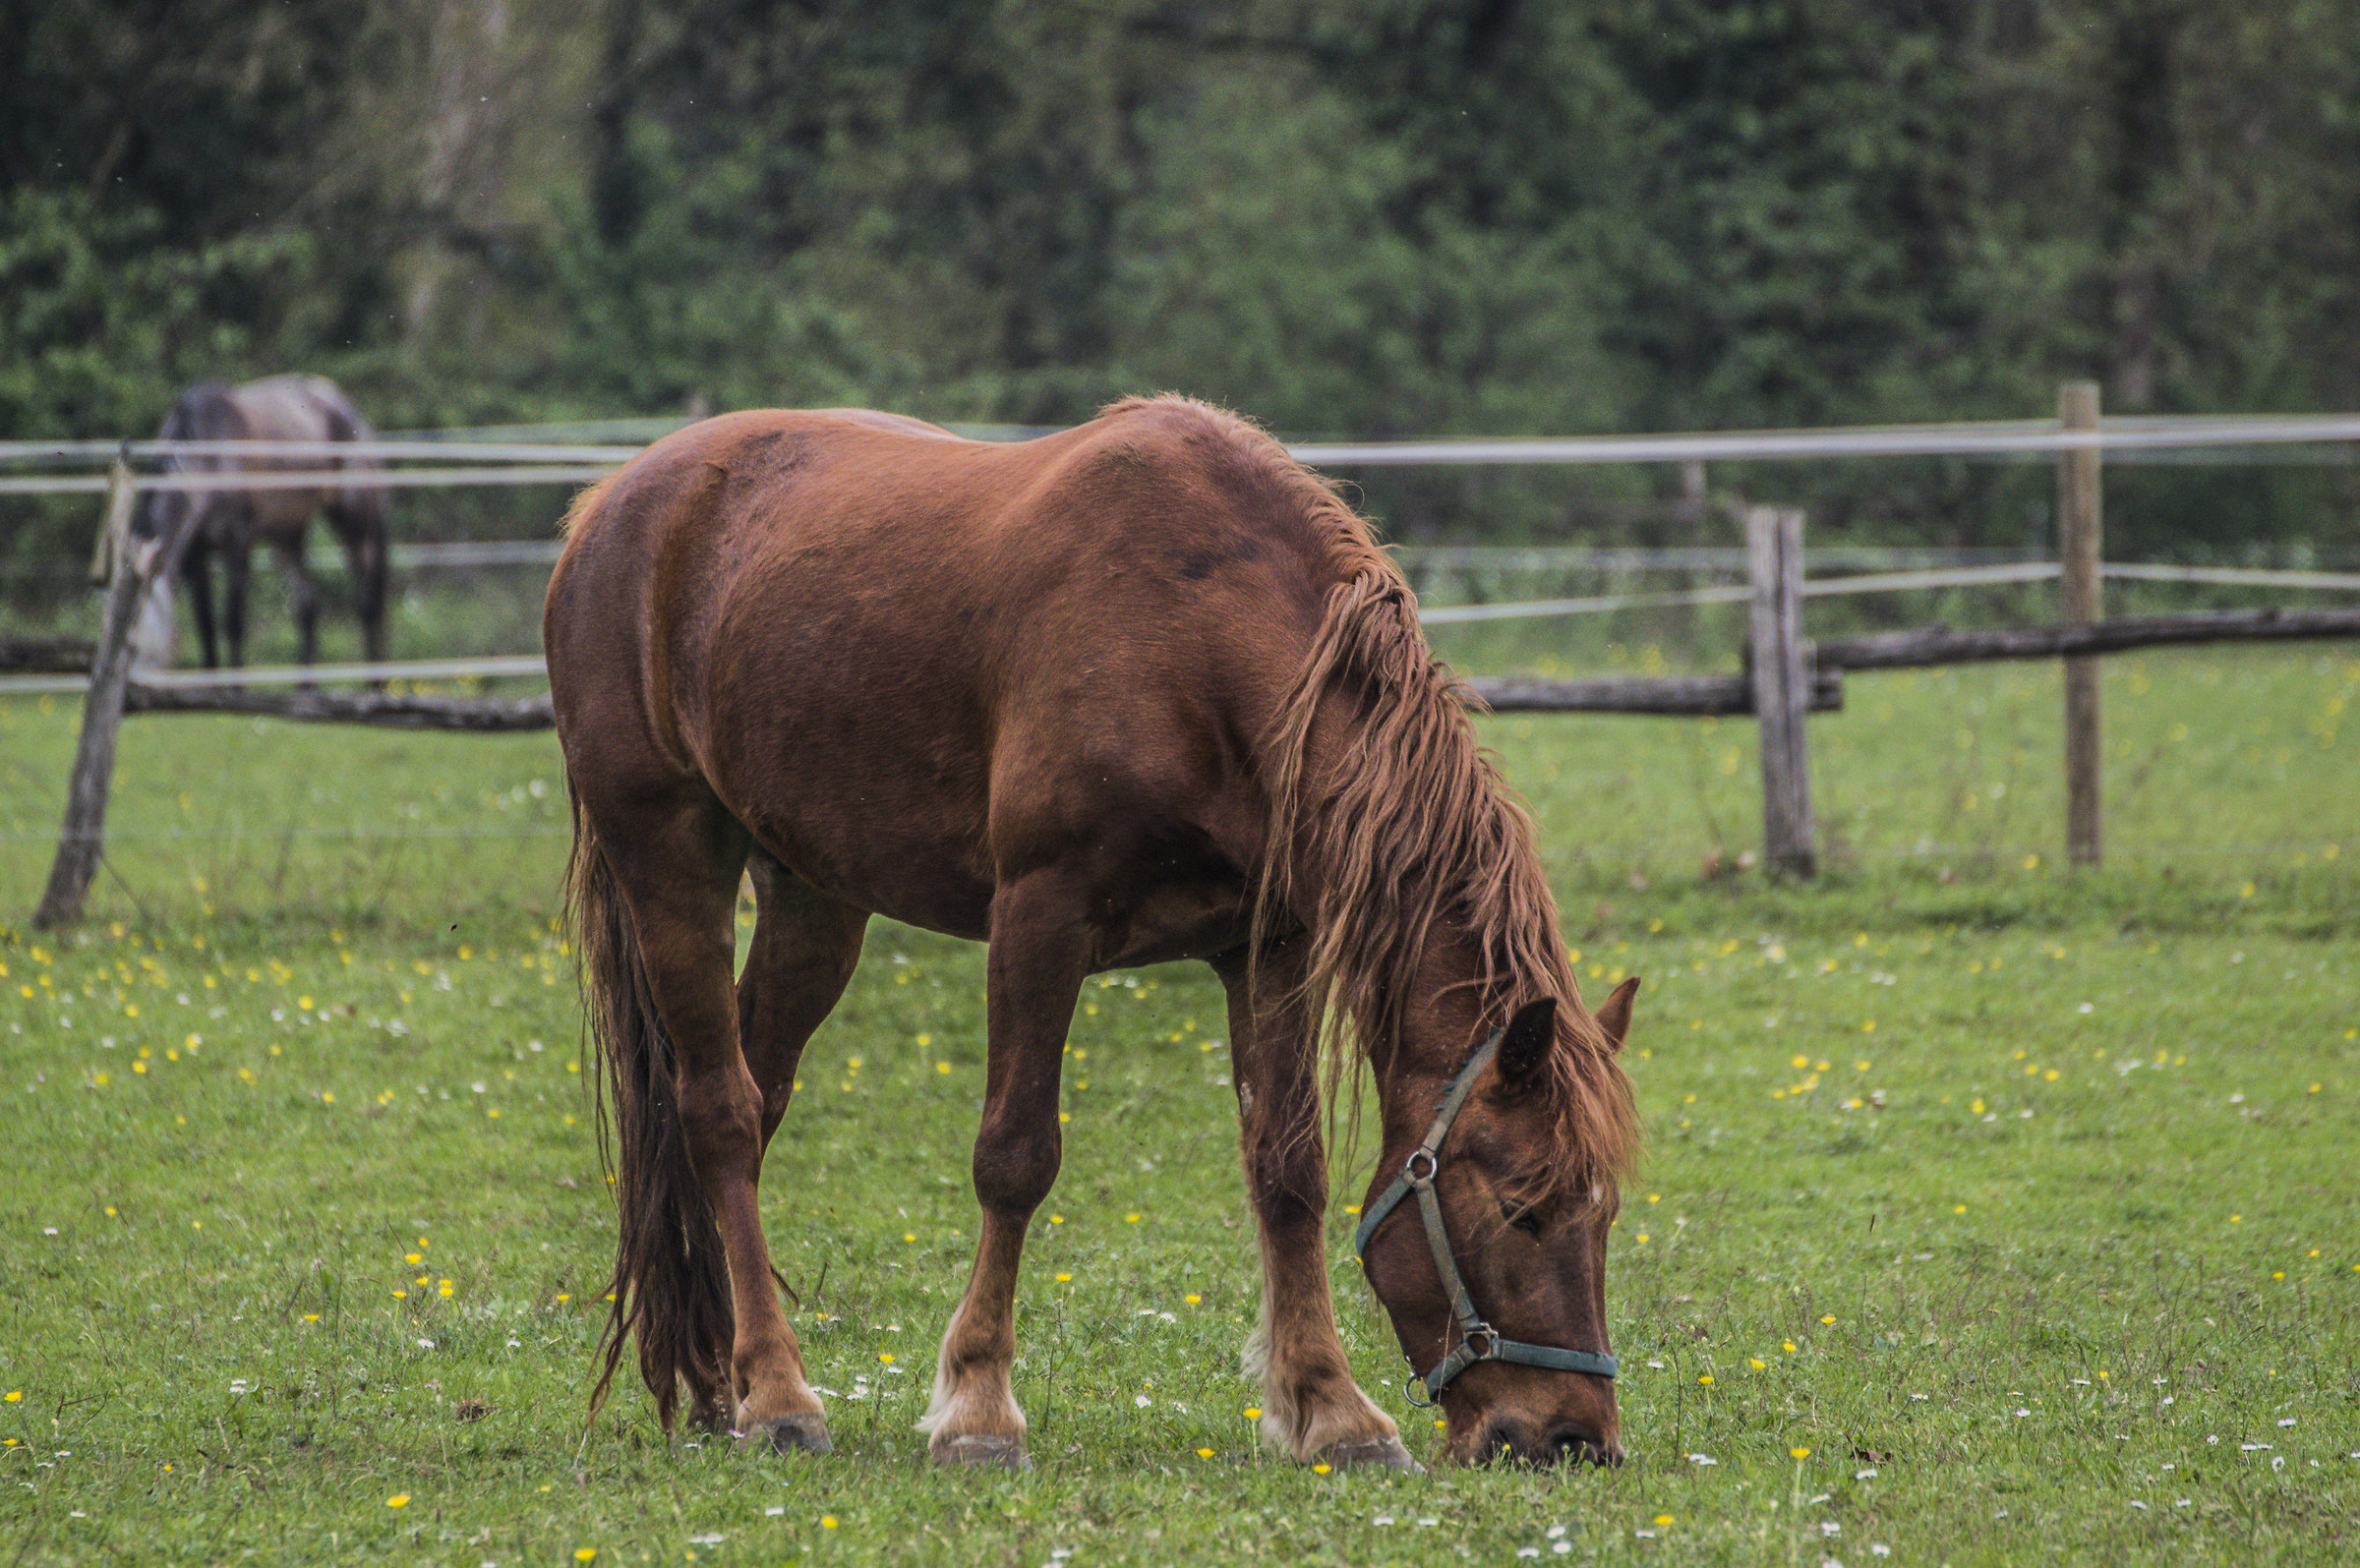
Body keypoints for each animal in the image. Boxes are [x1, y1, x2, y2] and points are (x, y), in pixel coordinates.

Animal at [134, 375, 389, 669]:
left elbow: (233, 622)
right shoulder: (196, 557)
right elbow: (205, 628)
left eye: (142, 650)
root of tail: (350, 410)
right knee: (308, 604)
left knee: (368, 605)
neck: (209, 453)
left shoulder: (238, 543)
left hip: (355, 525)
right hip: (287, 536)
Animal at [543, 396, 1642, 1471]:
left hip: (814, 898)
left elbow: (1289, 1172)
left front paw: (1333, 1411)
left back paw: (724, 1382)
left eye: (1605, 1209)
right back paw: (776, 1396)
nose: (1574, 1438)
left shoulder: (1267, 950)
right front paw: (980, 1409)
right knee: (719, 1112)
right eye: (1523, 1204)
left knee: (758, 1096)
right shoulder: (1040, 916)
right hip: (669, 858)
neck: (1199, 644)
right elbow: (1015, 1155)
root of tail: (607, 507)